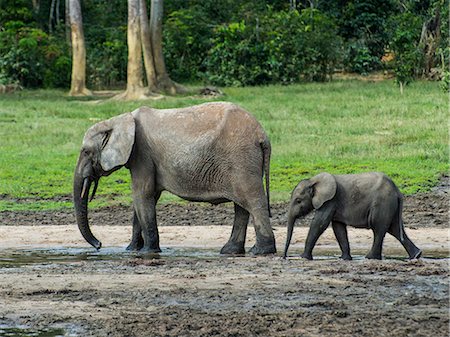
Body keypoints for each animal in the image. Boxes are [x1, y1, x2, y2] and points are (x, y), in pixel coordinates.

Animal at [74, 102, 274, 255]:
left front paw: (149, 251)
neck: (120, 119)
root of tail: (262, 135)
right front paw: (131, 250)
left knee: (252, 200)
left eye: (86, 152)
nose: (99, 245)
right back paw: (230, 251)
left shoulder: (142, 154)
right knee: (241, 206)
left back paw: (260, 251)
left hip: (241, 159)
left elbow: (142, 195)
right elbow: (146, 199)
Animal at [284, 172, 422, 258]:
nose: (285, 257)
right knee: (394, 229)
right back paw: (417, 255)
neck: (313, 181)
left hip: (383, 203)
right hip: (390, 205)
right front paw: (345, 258)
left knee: (379, 229)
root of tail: (397, 191)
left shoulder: (330, 201)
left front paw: (303, 257)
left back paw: (370, 257)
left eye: (298, 201)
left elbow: (319, 223)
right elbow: (338, 228)